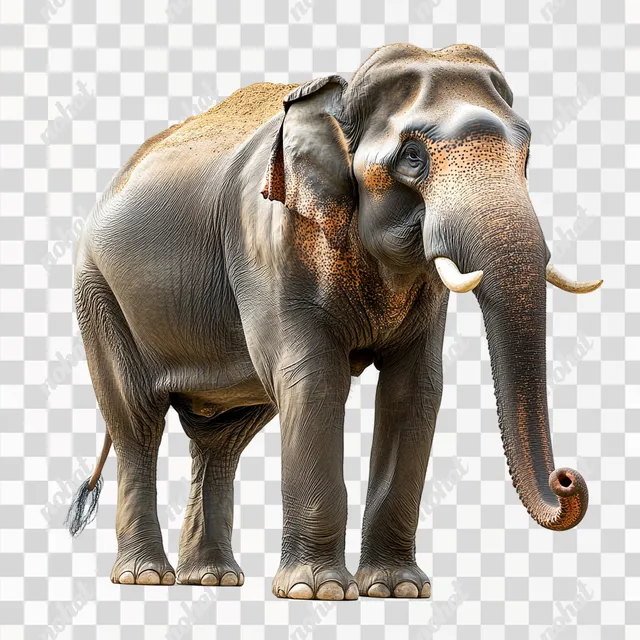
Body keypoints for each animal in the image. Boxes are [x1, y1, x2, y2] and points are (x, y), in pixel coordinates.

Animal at [66, 43, 602, 600]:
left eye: (526, 157)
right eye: (413, 157)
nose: (567, 480)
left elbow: (416, 388)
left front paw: (396, 590)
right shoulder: (271, 245)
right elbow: (314, 379)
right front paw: (316, 591)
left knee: (221, 438)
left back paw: (214, 579)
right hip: (98, 294)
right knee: (137, 422)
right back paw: (145, 577)